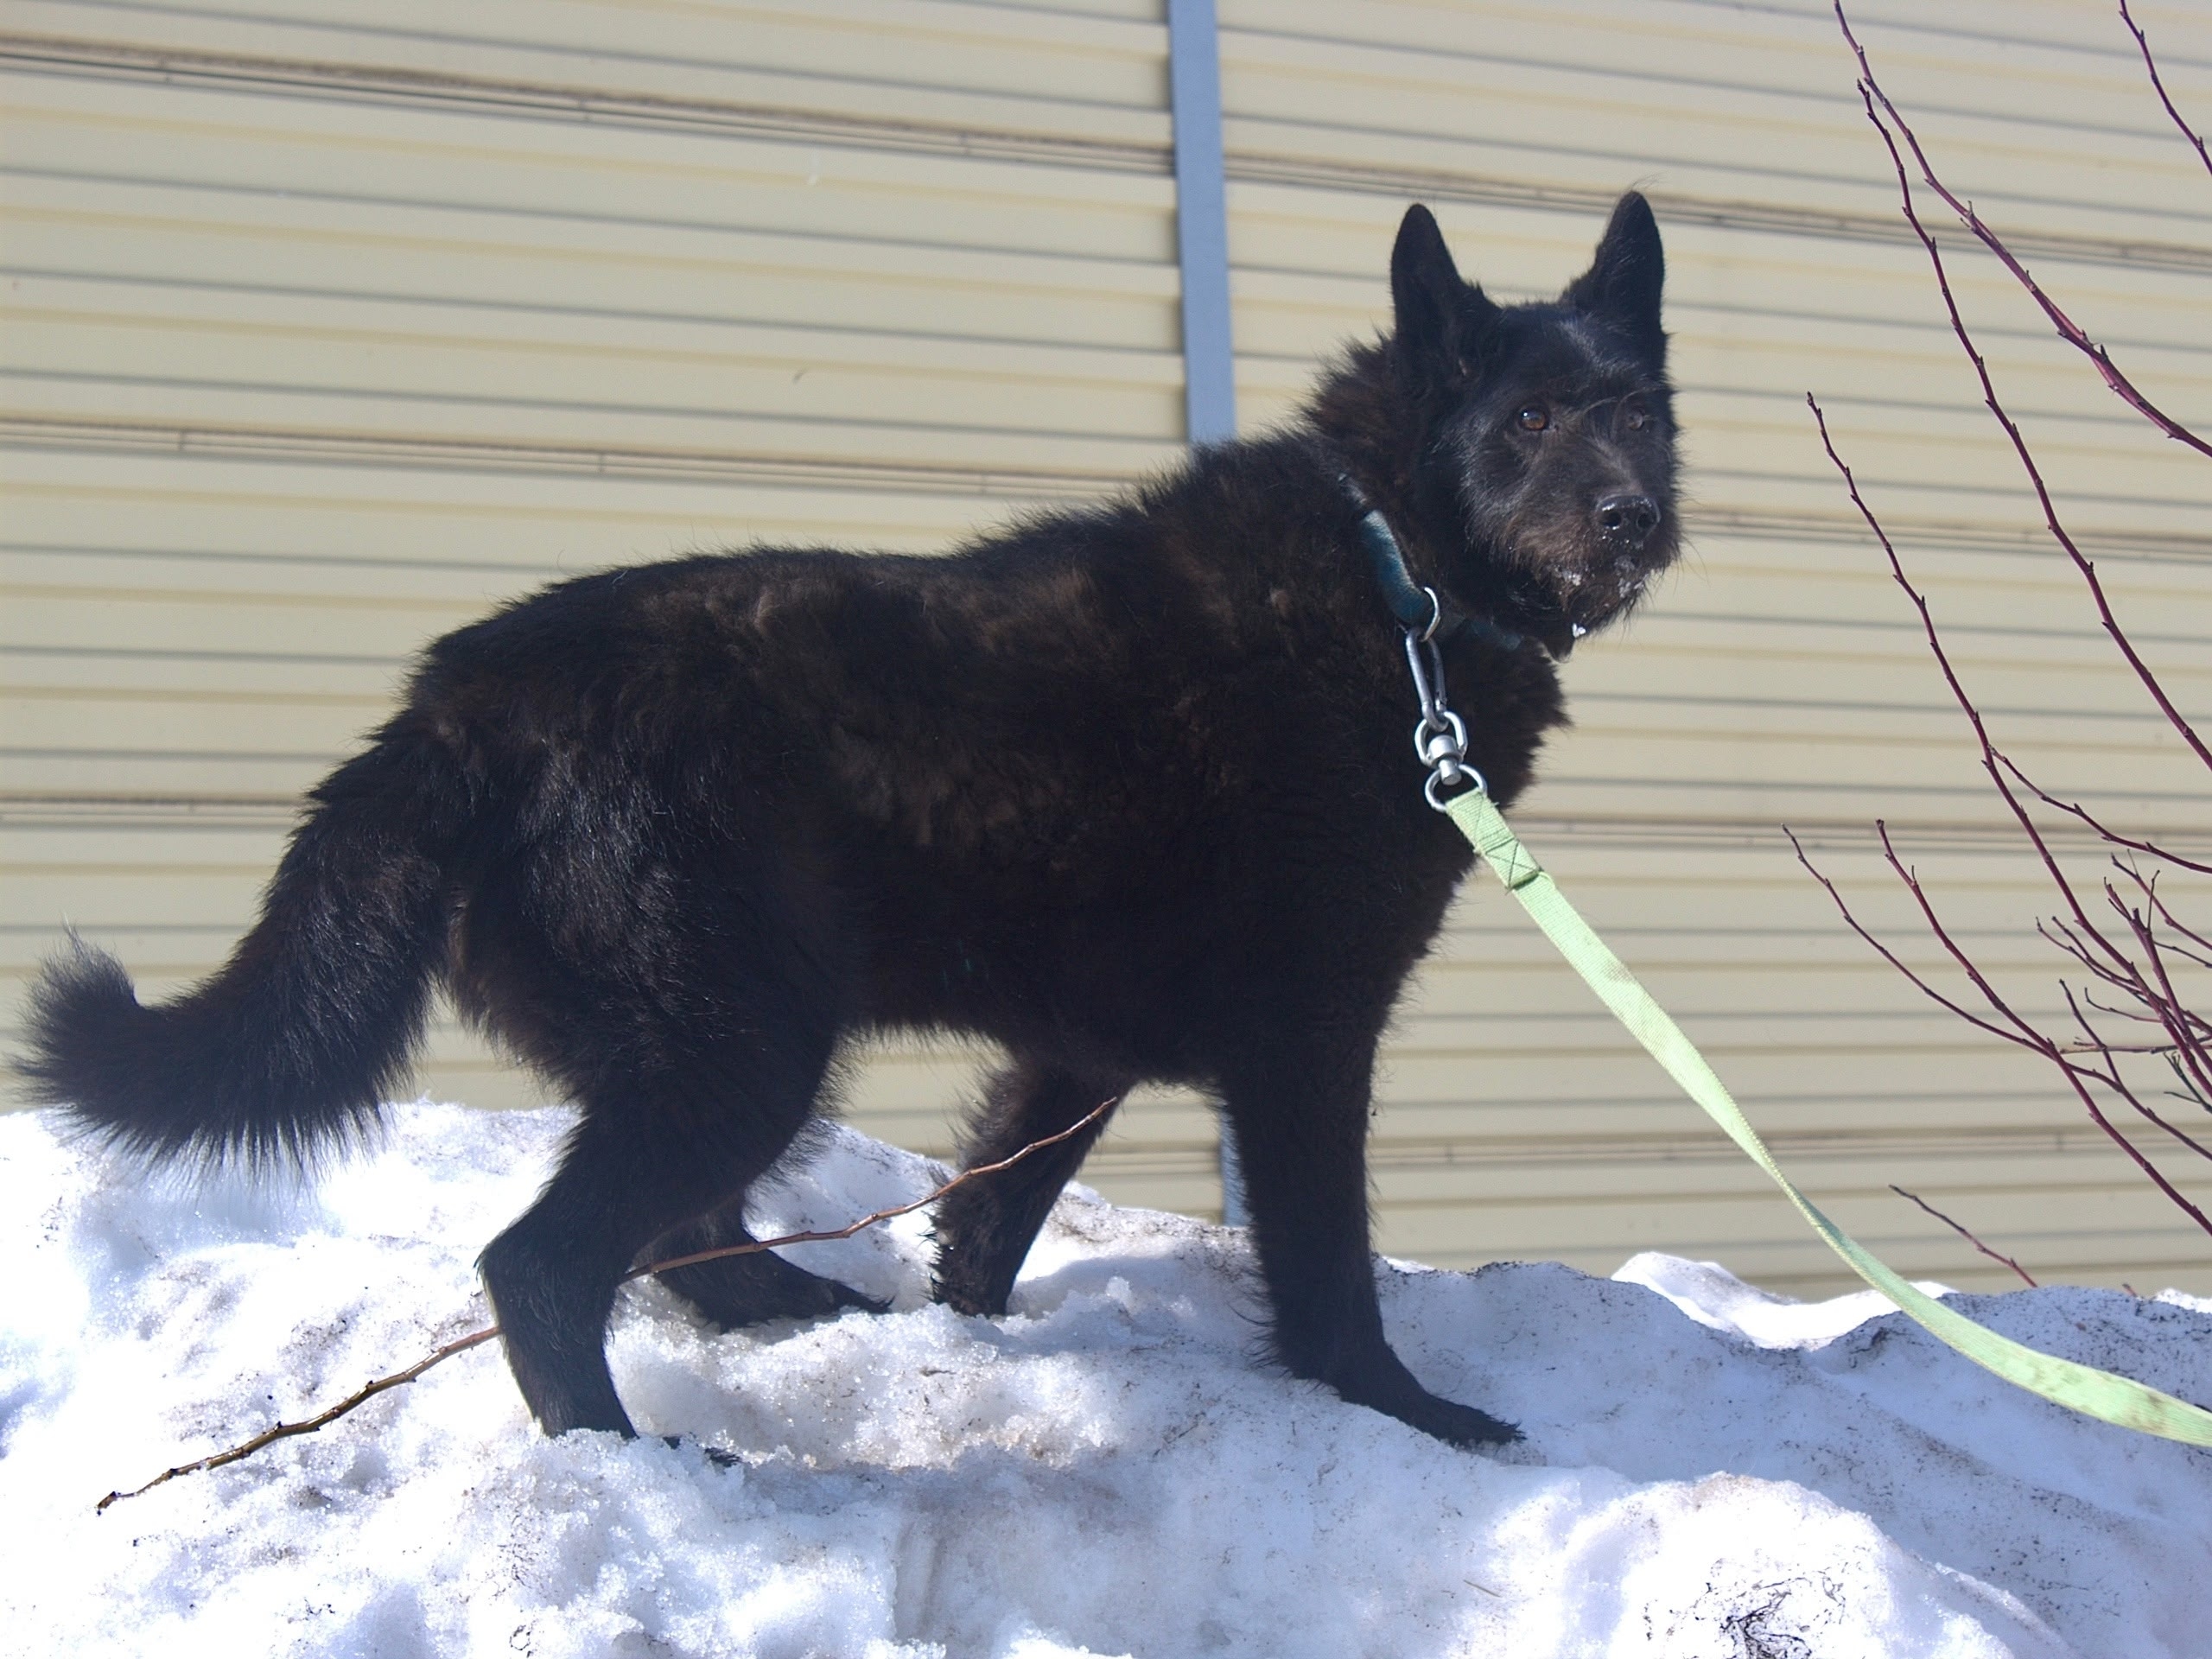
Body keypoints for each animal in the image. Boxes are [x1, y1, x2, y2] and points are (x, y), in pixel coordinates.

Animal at [22, 194, 1678, 1449]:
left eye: (1640, 416)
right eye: (1529, 419)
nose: (1636, 520)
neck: (1393, 577)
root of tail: (466, 701)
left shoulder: (1076, 1054)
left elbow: (993, 1219)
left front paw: (966, 1337)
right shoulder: (1304, 1044)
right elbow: (1330, 1270)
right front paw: (1413, 1414)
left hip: (716, 1045)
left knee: (674, 1238)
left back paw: (795, 1315)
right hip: (740, 1046)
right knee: (544, 1264)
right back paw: (627, 1461)